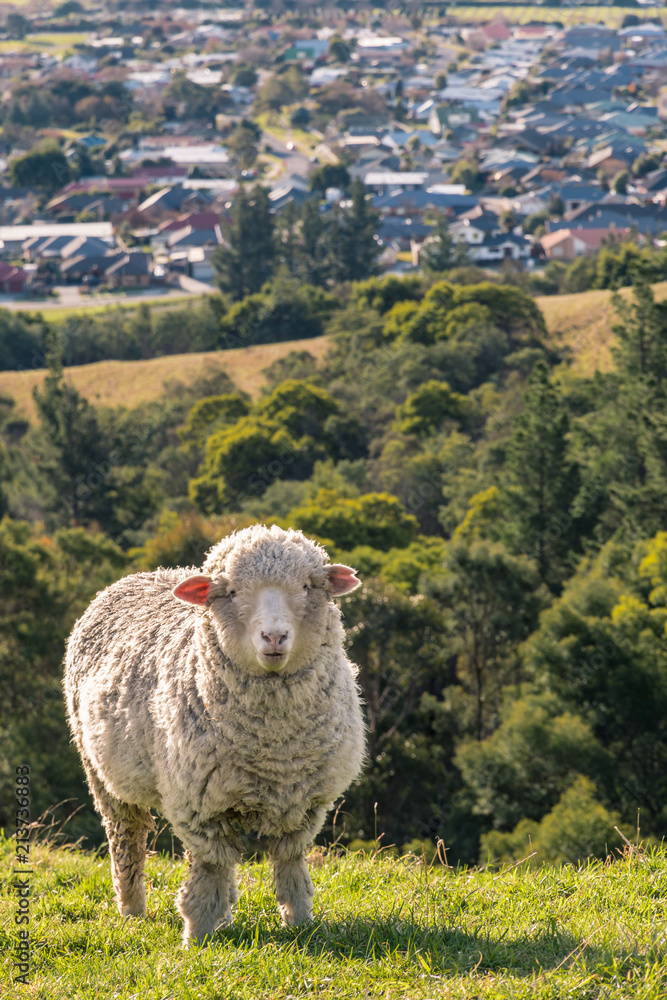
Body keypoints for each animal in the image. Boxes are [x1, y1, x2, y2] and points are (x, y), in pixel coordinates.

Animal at [63, 524, 366, 944]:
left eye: (308, 586)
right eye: (233, 592)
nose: (275, 637)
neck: (274, 747)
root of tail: (148, 573)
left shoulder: (305, 804)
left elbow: (290, 865)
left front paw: (300, 923)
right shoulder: (199, 807)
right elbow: (209, 872)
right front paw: (199, 935)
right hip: (101, 772)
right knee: (127, 840)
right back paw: (132, 911)